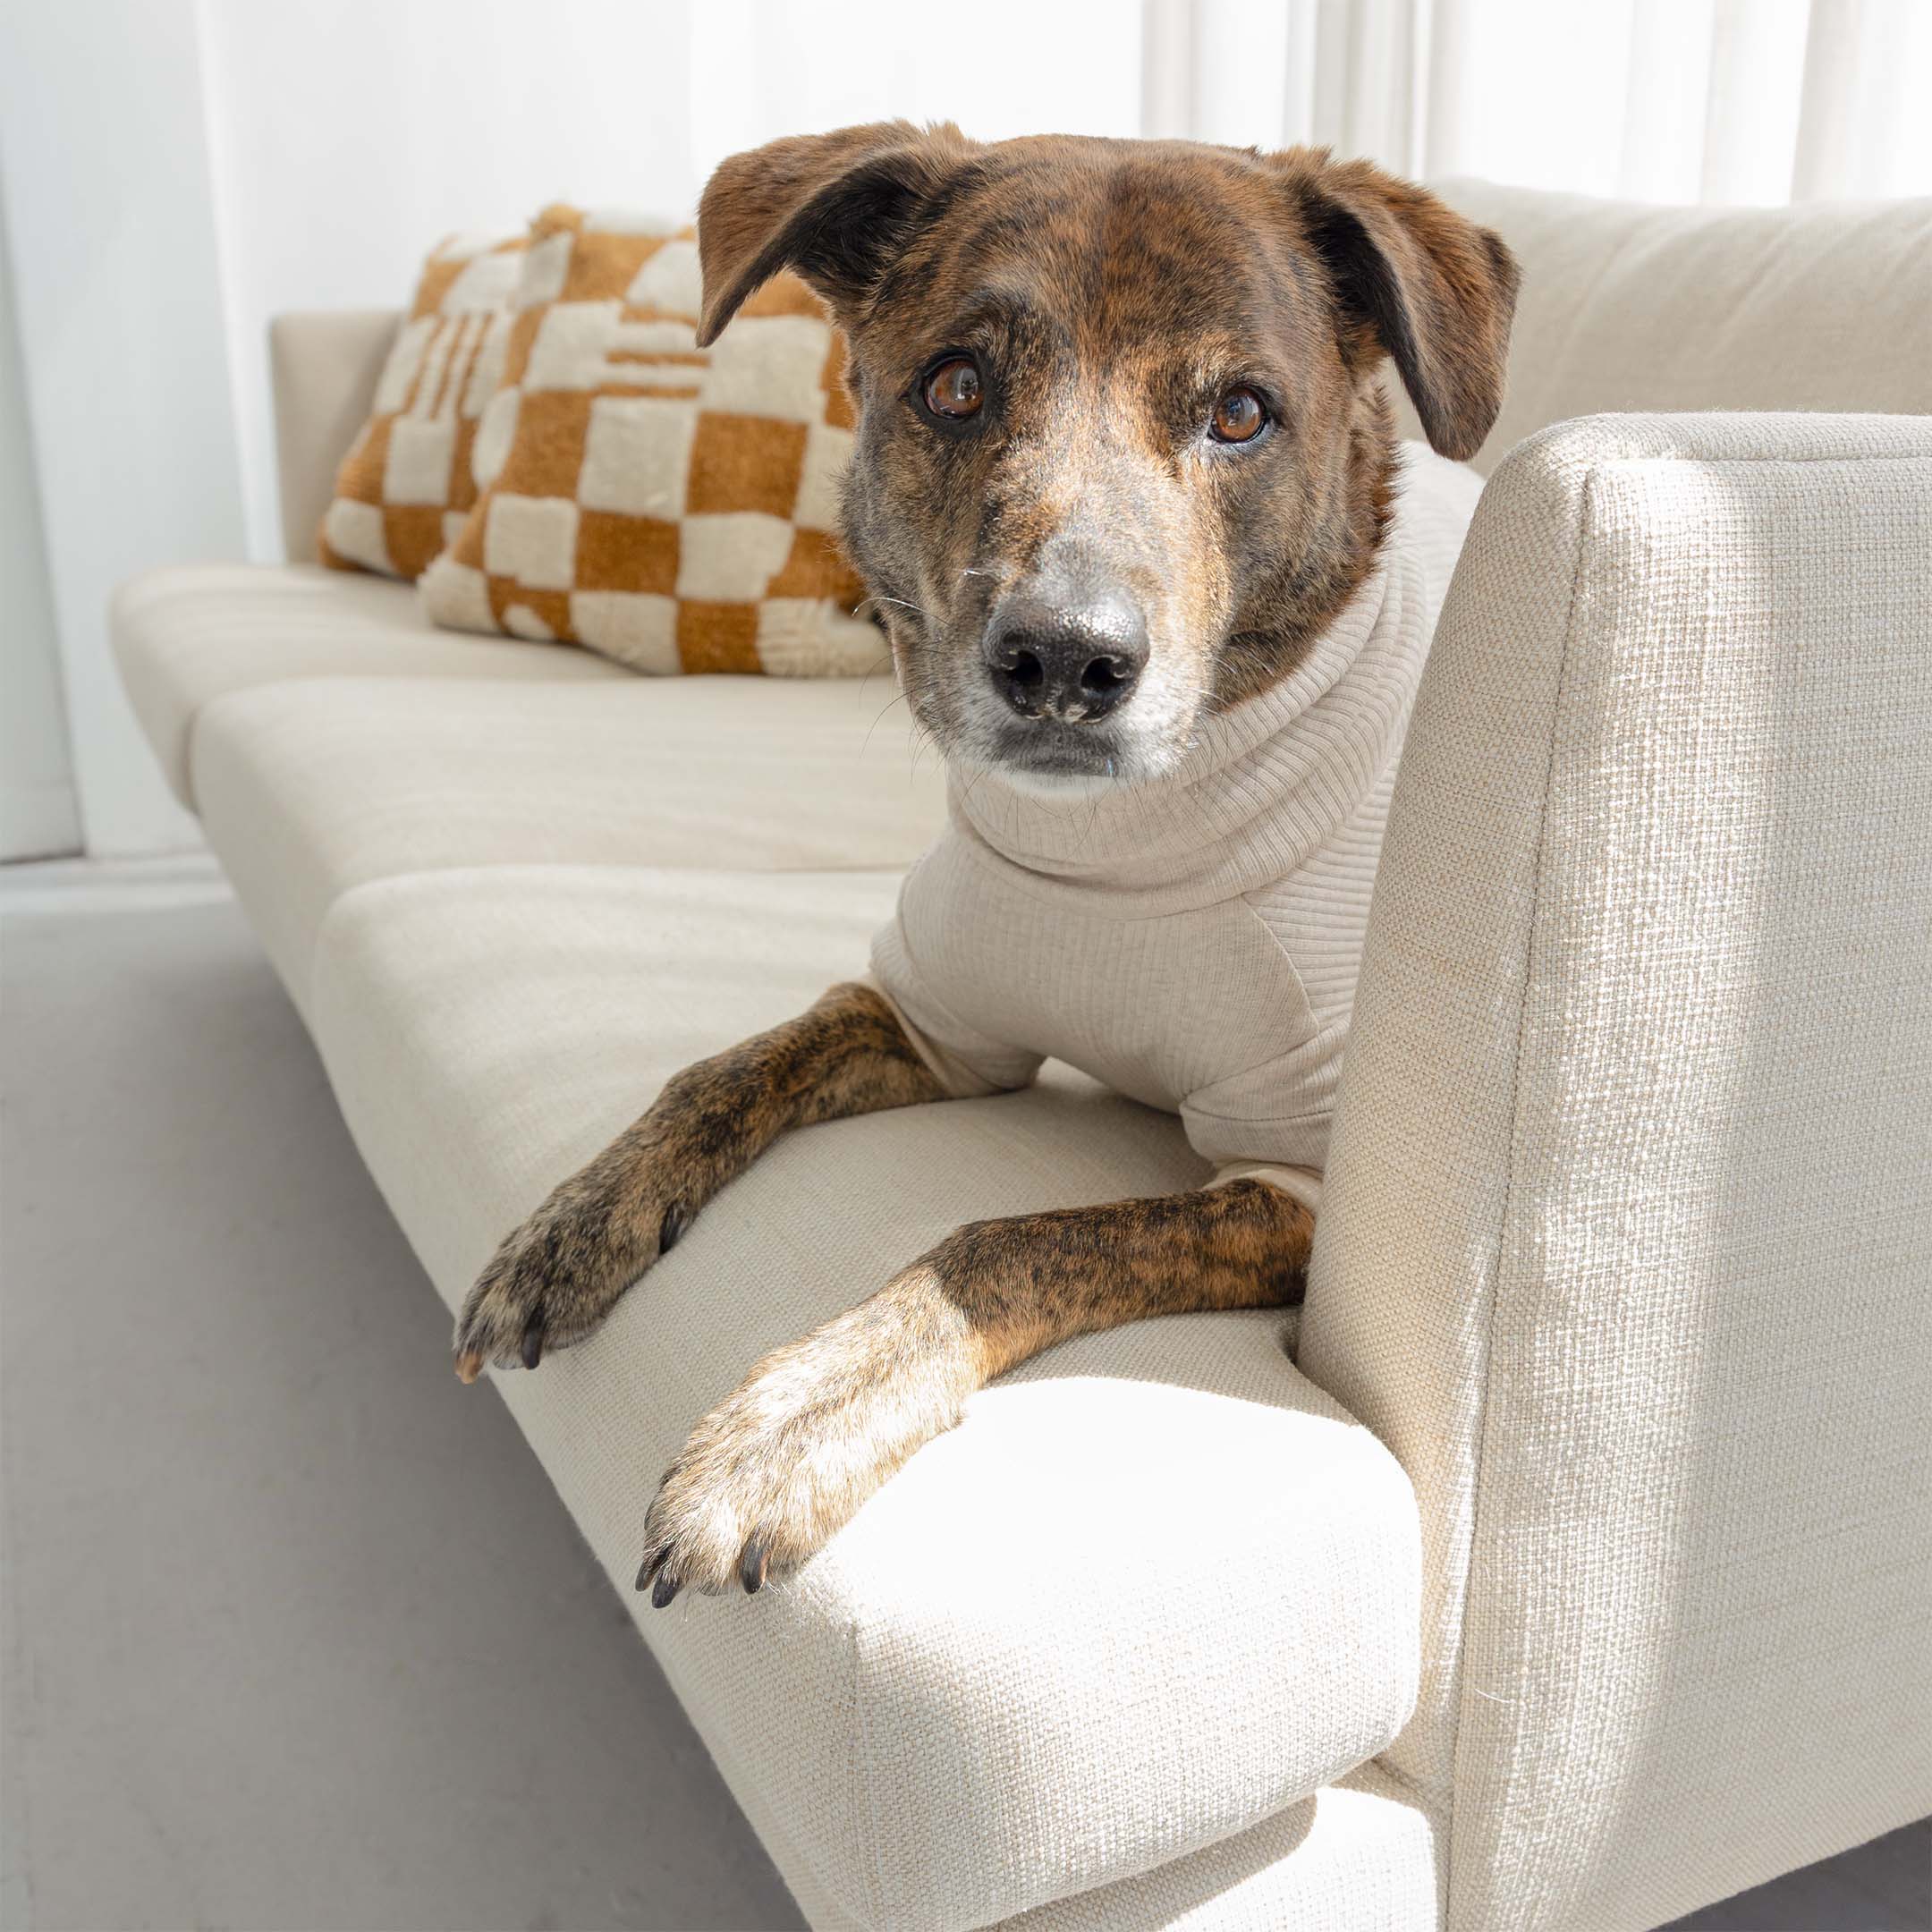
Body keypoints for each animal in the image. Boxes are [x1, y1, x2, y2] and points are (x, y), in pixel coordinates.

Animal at [448, 121, 1506, 1599]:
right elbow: (720, 1072)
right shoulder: (928, 1021)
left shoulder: (1291, 1185)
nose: (1065, 660)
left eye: (1242, 413)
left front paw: (797, 1421)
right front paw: (572, 1223)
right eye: (953, 387)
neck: (1120, 851)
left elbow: (1006, 1240)